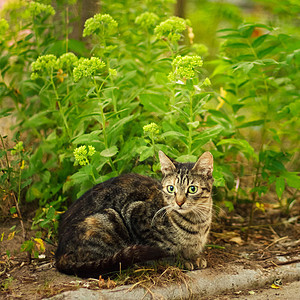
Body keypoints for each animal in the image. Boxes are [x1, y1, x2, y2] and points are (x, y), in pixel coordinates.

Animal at [54, 151, 213, 278]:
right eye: (171, 188)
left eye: (192, 189)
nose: (179, 202)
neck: (198, 222)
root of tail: (59, 254)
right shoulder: (134, 215)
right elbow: (163, 252)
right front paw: (181, 261)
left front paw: (195, 257)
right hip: (108, 218)